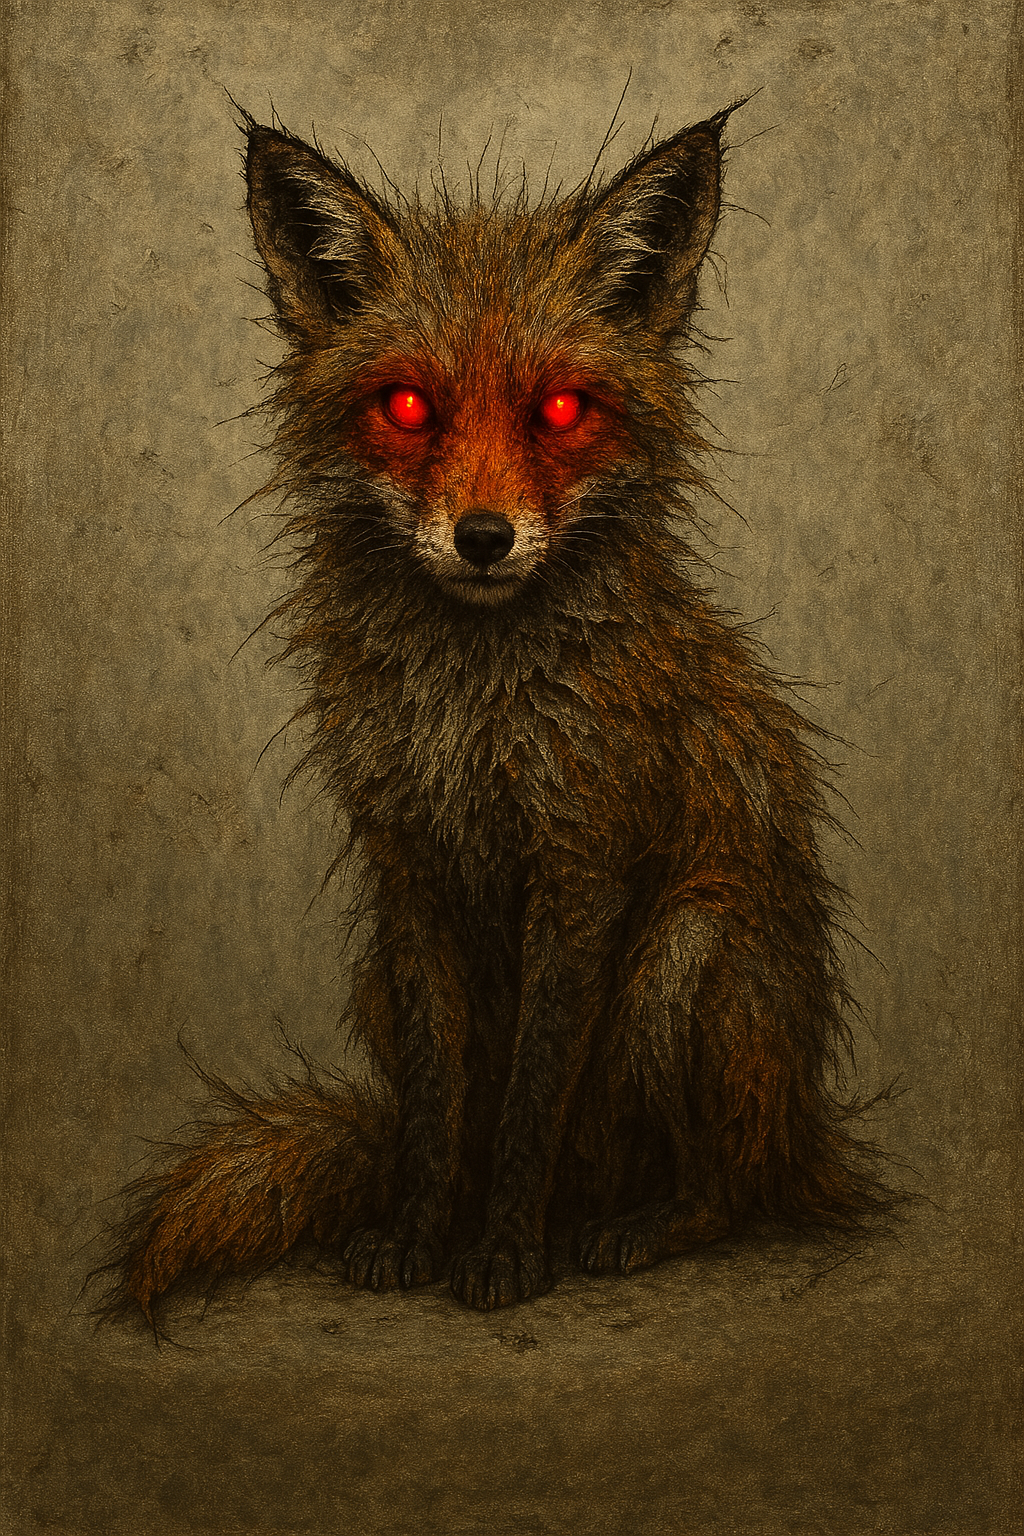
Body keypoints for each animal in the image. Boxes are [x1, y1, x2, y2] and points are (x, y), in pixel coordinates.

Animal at [100, 101, 892, 1327]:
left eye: (558, 409)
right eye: (407, 405)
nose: (482, 537)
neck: (470, 712)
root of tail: (811, 1140)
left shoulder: (580, 869)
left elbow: (529, 1095)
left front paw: (507, 1255)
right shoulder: (411, 872)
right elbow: (440, 1106)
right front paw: (420, 1238)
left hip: (686, 959)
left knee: (729, 1187)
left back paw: (627, 1228)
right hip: (378, 972)